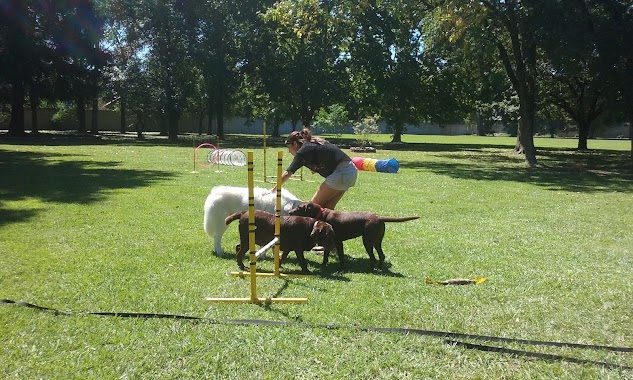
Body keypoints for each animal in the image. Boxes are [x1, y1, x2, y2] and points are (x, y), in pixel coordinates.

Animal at [290, 202, 420, 270]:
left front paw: (341, 268)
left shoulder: (338, 242)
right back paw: (378, 268)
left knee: (373, 257)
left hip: (367, 241)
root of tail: (379, 217)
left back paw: (370, 269)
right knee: (381, 256)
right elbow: (326, 256)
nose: (290, 212)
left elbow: (341, 257)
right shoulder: (328, 242)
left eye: (299, 208)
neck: (321, 214)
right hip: (376, 241)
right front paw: (323, 266)